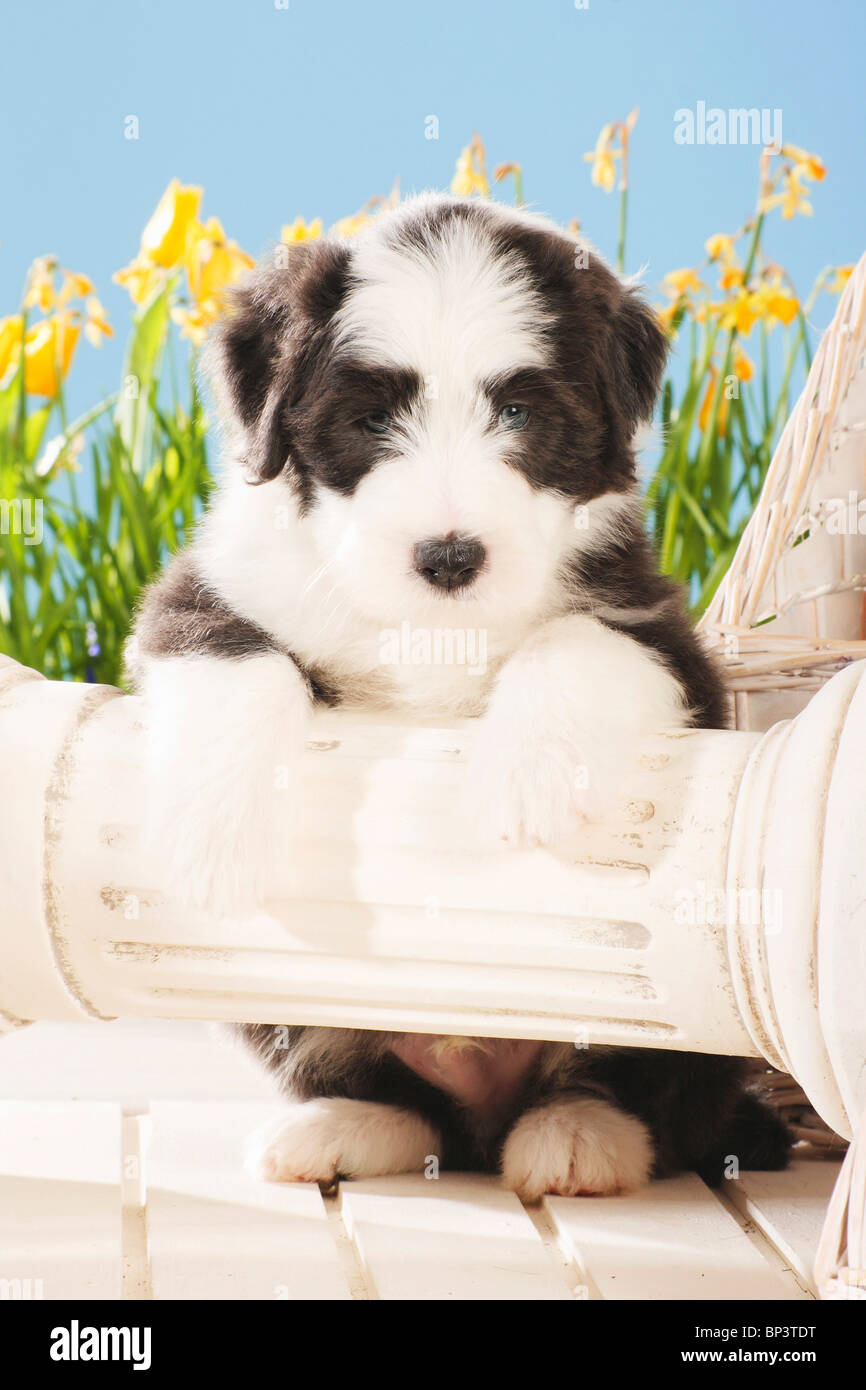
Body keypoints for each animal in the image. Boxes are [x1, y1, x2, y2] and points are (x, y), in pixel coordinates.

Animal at [130, 193, 795, 1195]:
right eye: (371, 420)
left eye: (517, 410)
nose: (448, 557)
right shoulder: (203, 592)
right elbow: (239, 658)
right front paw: (214, 846)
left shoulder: (666, 642)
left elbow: (572, 638)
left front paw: (527, 783)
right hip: (299, 1005)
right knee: (416, 1109)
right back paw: (341, 1127)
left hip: (662, 1010)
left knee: (647, 1094)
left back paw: (579, 1137)